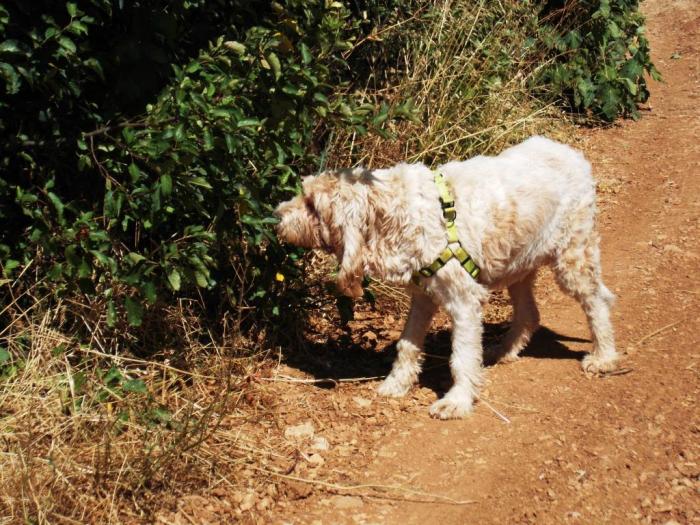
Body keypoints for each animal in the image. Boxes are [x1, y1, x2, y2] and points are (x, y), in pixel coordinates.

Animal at [274, 137, 616, 420]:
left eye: (312, 205)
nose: (277, 216)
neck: (398, 212)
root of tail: (574, 155)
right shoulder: (422, 296)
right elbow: (407, 344)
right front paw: (396, 384)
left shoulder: (463, 301)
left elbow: (461, 357)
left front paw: (457, 402)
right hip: (519, 265)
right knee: (529, 313)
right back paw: (502, 351)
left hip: (573, 257)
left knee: (597, 300)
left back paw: (604, 357)